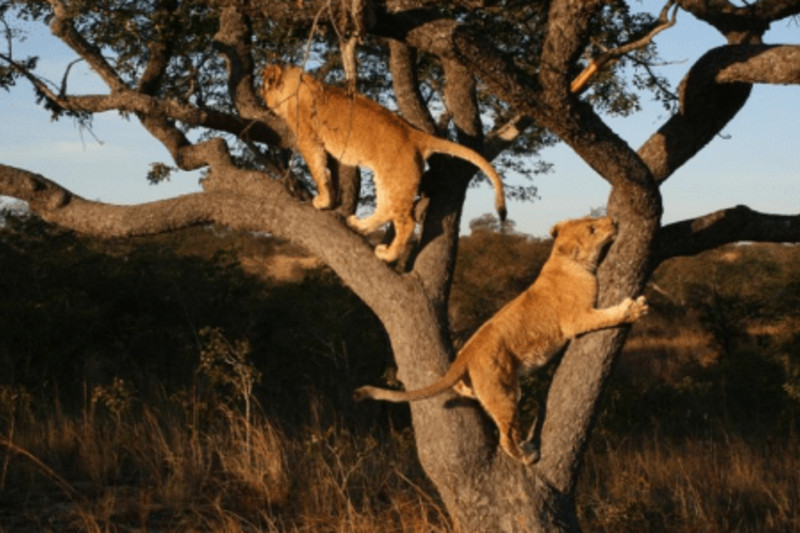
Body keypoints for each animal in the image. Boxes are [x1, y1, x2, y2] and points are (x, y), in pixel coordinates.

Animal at [262, 64, 506, 263]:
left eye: (263, 89)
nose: (264, 102)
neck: (297, 83)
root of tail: (415, 134)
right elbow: (329, 171)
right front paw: (331, 197)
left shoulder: (308, 139)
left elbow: (317, 169)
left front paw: (322, 200)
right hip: (387, 179)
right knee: (385, 208)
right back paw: (359, 225)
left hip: (397, 180)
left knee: (406, 223)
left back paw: (387, 255)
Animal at [354, 216, 649, 464]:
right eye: (593, 229)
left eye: (592, 221)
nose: (614, 221)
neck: (562, 259)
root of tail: (466, 354)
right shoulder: (576, 319)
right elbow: (607, 317)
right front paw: (634, 309)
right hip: (503, 390)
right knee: (505, 438)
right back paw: (527, 456)